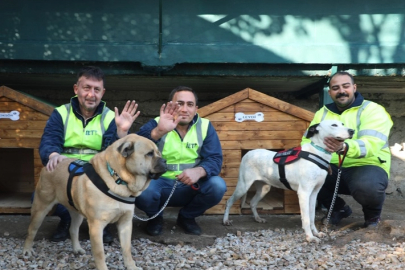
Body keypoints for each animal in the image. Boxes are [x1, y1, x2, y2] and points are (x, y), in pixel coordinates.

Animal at [22, 134, 166, 270]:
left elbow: (127, 249)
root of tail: (50, 164)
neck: (118, 178)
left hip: (76, 213)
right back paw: (27, 250)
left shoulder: (125, 223)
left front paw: (131, 266)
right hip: (41, 208)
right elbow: (99, 253)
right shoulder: (97, 226)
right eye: (150, 154)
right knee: (31, 230)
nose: (165, 160)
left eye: (159, 153)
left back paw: (77, 249)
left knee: (73, 230)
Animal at [223, 120, 352, 243]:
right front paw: (309, 237)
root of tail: (247, 153)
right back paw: (226, 220)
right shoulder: (304, 193)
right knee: (229, 201)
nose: (352, 131)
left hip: (264, 188)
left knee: (253, 203)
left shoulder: (314, 193)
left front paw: (315, 233)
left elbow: (312, 216)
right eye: (334, 125)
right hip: (243, 186)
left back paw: (258, 218)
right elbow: (306, 219)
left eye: (342, 124)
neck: (317, 152)